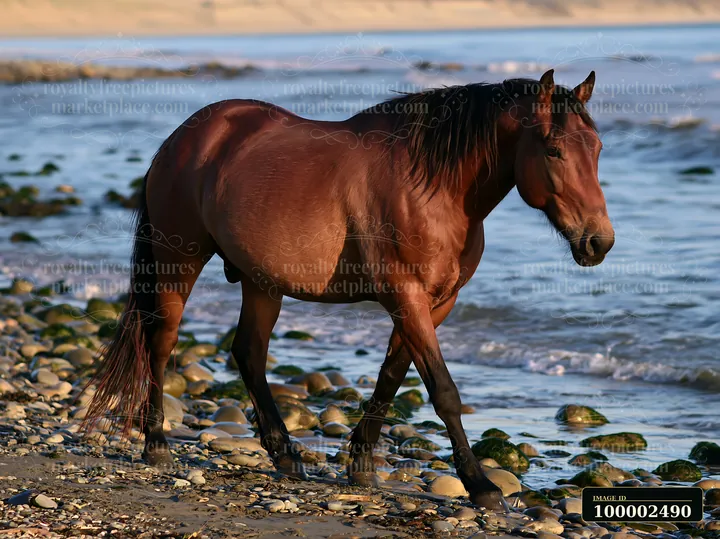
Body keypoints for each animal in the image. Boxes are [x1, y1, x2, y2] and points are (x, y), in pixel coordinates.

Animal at [84, 69, 613, 510]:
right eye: (553, 150)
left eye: (598, 149)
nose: (598, 241)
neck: (432, 185)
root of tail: (186, 136)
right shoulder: (406, 297)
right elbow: (442, 391)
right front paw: (480, 486)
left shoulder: (436, 303)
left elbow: (392, 377)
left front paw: (359, 463)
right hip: (179, 263)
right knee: (161, 343)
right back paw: (156, 444)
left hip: (261, 283)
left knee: (249, 353)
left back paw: (285, 455)